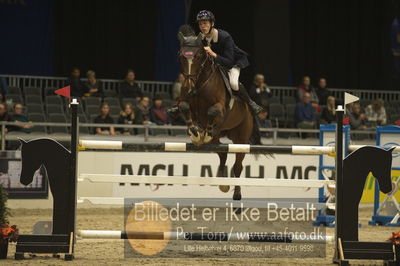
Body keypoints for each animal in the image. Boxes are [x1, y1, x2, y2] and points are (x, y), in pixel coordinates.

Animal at [177, 27, 260, 202]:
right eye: (181, 56)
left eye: (198, 56)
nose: (188, 86)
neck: (199, 84)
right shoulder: (185, 104)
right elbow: (184, 107)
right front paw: (195, 132)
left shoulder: (220, 110)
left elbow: (212, 111)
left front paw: (202, 132)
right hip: (220, 136)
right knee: (222, 153)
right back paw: (222, 182)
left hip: (241, 139)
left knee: (237, 166)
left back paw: (236, 194)